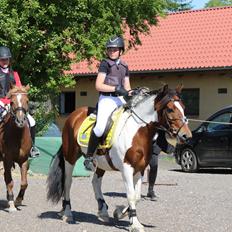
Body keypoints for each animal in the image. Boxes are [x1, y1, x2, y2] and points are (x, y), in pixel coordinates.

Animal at [47, 85, 192, 232]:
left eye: (183, 107)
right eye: (170, 109)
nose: (186, 136)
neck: (138, 131)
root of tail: (74, 115)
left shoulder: (140, 169)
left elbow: (137, 196)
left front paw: (121, 213)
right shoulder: (127, 168)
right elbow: (131, 195)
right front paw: (135, 224)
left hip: (100, 162)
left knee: (95, 182)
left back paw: (103, 212)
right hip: (70, 157)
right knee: (68, 182)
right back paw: (67, 213)